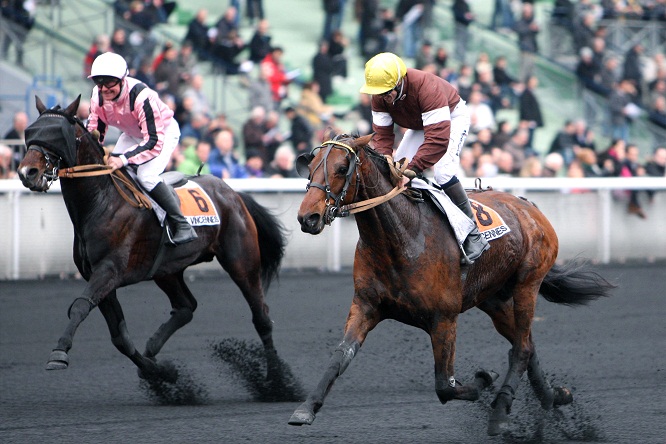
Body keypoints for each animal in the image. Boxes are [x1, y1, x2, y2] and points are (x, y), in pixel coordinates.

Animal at [14, 96, 290, 392]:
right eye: (31, 132)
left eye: (56, 134)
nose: (27, 172)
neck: (101, 202)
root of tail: (232, 193)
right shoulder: (99, 278)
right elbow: (119, 337)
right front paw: (159, 372)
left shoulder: (109, 271)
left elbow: (79, 306)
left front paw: (59, 352)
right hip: (167, 270)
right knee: (186, 307)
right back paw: (153, 348)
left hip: (241, 261)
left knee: (261, 316)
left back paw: (275, 380)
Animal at [286, 134, 612, 436]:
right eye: (310, 167)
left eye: (342, 168)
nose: (308, 217)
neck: (403, 237)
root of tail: (527, 205)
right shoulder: (366, 306)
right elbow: (340, 356)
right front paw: (305, 408)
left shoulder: (443, 318)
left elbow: (445, 385)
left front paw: (484, 379)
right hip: (493, 299)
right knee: (528, 345)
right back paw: (553, 396)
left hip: (527, 284)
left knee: (520, 348)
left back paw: (500, 413)